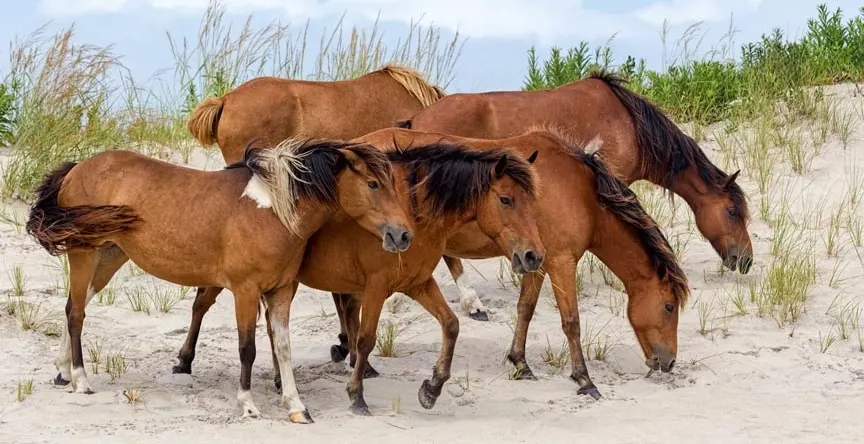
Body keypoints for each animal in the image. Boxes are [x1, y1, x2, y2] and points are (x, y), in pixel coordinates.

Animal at [174, 140, 548, 420]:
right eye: (506, 199)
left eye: (533, 201)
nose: (534, 255)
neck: (413, 213)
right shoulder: (376, 287)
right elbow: (367, 339)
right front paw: (357, 396)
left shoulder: (418, 283)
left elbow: (451, 325)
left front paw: (432, 388)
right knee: (201, 304)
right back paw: (184, 360)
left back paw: (283, 380)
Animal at [328, 125, 692, 398]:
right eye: (669, 307)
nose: (669, 362)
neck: (580, 191)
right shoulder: (561, 262)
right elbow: (571, 322)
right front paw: (585, 380)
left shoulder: (536, 261)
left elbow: (525, 309)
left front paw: (520, 362)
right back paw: (360, 361)